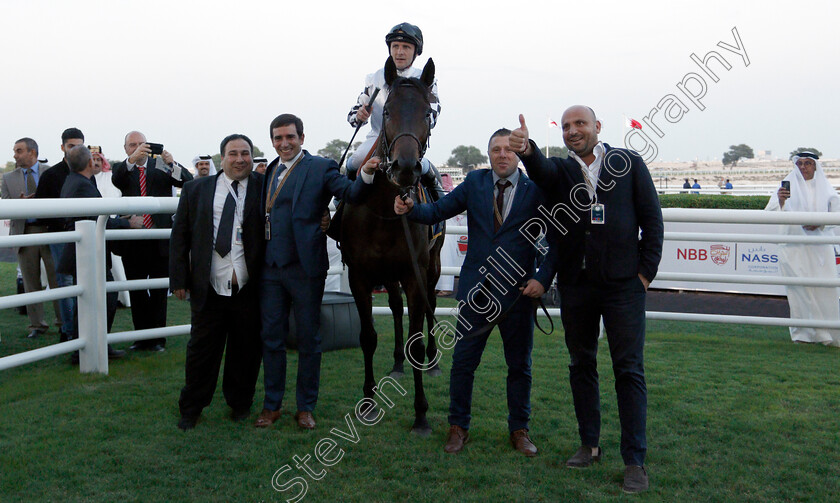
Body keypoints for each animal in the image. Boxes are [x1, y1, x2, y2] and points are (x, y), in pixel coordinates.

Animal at [342, 57, 446, 436]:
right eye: (385, 111)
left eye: (427, 113)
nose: (404, 167)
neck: (387, 211)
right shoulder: (359, 276)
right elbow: (368, 336)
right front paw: (368, 402)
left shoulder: (415, 274)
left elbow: (417, 332)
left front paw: (421, 414)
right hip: (388, 275)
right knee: (396, 308)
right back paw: (398, 364)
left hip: (433, 266)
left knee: (430, 305)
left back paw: (432, 362)